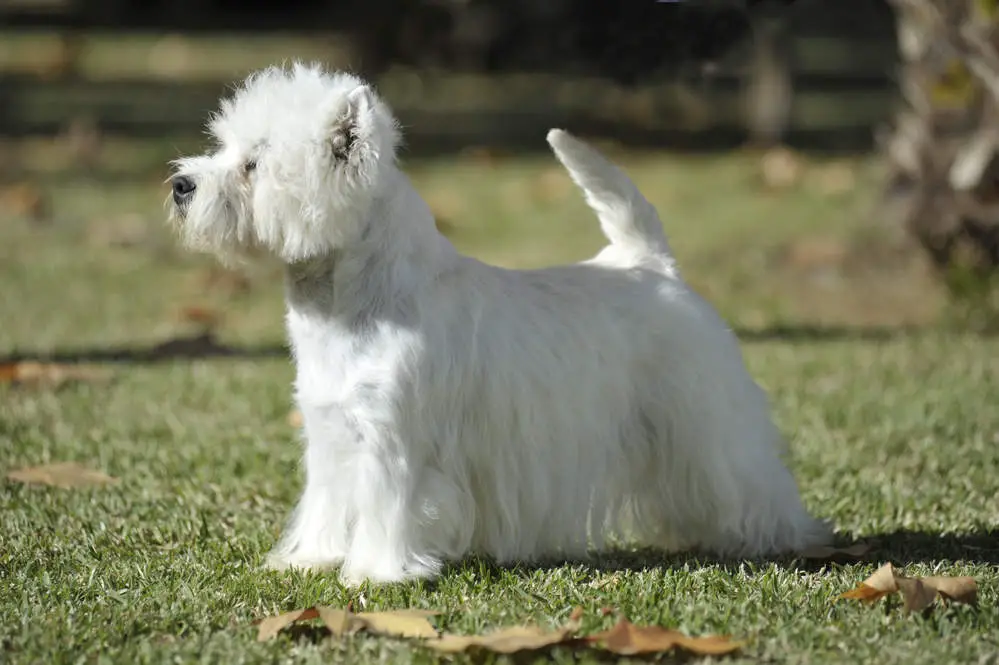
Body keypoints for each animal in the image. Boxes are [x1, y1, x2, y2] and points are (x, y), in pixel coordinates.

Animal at [168, 62, 832, 580]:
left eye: (253, 164)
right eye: (225, 148)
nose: (179, 184)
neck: (347, 303)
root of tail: (650, 264)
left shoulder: (392, 438)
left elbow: (387, 506)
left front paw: (375, 574)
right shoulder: (330, 434)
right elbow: (331, 503)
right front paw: (314, 559)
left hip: (701, 418)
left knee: (746, 476)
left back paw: (782, 537)